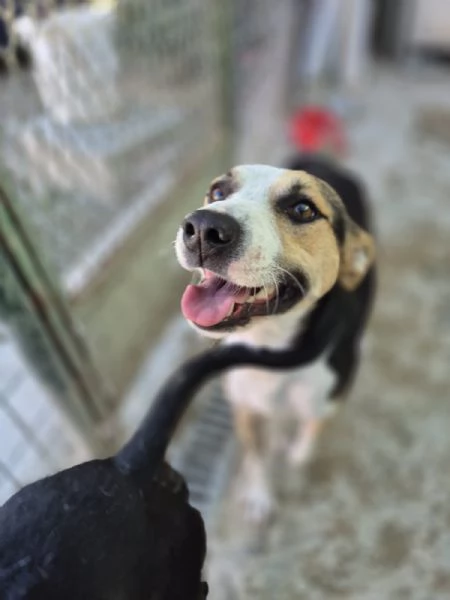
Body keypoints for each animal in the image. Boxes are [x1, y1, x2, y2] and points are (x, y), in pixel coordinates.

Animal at [176, 155, 376, 520]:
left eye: (302, 209)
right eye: (218, 191)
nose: (203, 228)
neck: (269, 349)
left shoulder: (323, 405)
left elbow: (302, 450)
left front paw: (294, 470)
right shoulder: (244, 406)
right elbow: (257, 457)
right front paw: (259, 494)